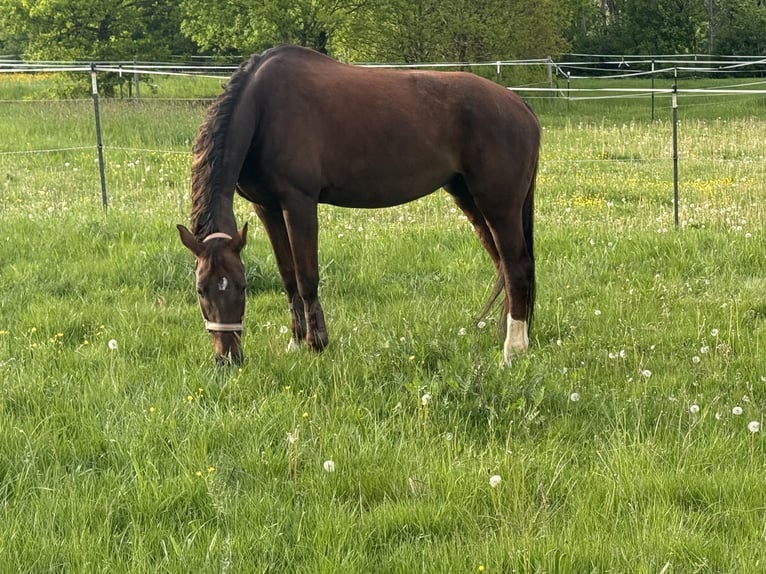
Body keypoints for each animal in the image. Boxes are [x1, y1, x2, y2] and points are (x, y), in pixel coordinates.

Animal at [177, 45, 540, 366]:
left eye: (242, 286)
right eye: (200, 290)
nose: (228, 358)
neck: (263, 108)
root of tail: (520, 106)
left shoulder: (298, 203)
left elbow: (307, 277)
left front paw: (317, 343)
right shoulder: (267, 208)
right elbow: (288, 277)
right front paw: (296, 343)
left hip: (499, 205)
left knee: (516, 268)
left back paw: (513, 350)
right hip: (469, 199)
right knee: (504, 268)